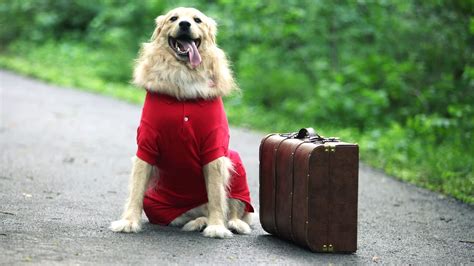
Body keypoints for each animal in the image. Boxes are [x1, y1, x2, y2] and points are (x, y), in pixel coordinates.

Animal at [109, 7, 254, 238]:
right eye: (173, 18)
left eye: (197, 20)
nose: (185, 24)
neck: (183, 75)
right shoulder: (146, 147)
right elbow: (136, 191)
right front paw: (129, 222)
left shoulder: (215, 150)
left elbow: (216, 195)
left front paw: (216, 227)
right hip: (156, 203)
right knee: (183, 217)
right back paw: (198, 222)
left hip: (235, 162)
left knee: (234, 210)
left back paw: (230, 223)